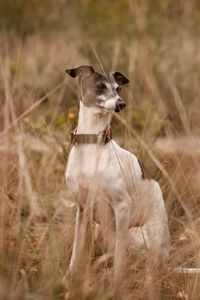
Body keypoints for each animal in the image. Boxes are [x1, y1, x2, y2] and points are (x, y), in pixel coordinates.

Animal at [65, 65, 170, 284]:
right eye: (100, 86)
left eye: (118, 89)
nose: (121, 104)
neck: (92, 143)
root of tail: (167, 262)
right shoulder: (82, 208)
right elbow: (76, 249)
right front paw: (69, 277)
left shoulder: (122, 207)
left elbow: (120, 257)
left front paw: (116, 283)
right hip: (100, 229)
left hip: (134, 232)